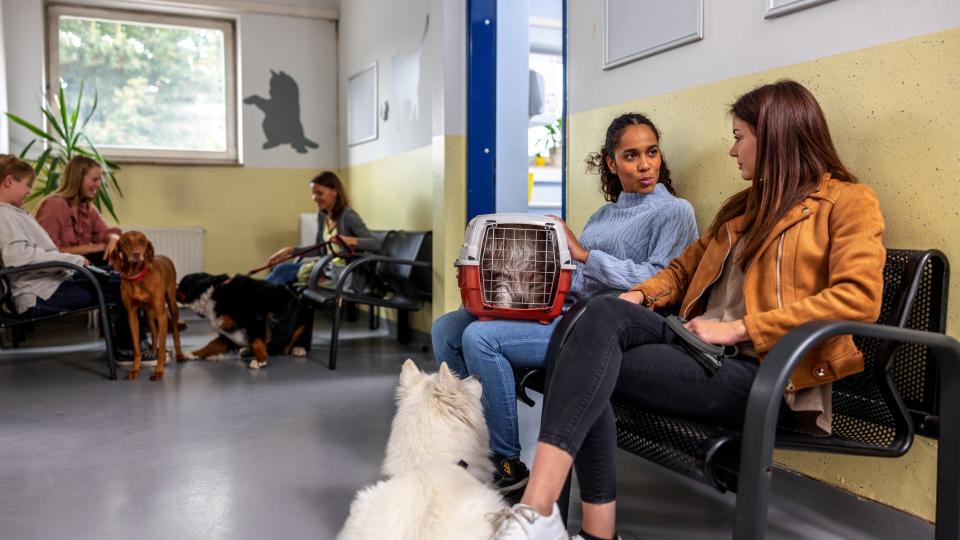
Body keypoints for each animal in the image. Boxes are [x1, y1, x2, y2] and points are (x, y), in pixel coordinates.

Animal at [110, 230, 186, 378]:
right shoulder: (132, 315)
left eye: (142, 241)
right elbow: (137, 348)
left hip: (172, 306)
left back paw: (179, 354)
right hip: (148, 314)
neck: (137, 277)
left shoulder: (162, 316)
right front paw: (135, 369)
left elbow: (163, 347)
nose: (136, 254)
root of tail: (165, 257)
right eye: (126, 242)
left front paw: (159, 371)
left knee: (175, 332)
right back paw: (152, 351)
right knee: (154, 332)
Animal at [173, 272, 308, 370]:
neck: (214, 293)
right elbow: (211, 345)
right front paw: (193, 354)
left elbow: (257, 342)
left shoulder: (255, 320)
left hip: (302, 317)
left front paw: (260, 360)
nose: (172, 286)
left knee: (292, 340)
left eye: (181, 284)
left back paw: (298, 349)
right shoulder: (229, 331)